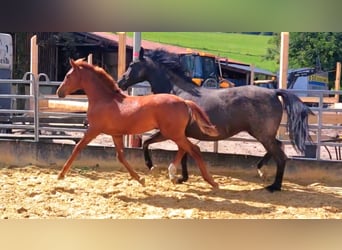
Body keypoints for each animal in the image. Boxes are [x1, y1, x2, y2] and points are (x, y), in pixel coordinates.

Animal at [117, 47, 312, 191]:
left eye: (132, 64)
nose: (120, 82)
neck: (177, 94)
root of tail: (273, 92)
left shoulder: (169, 132)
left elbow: (147, 143)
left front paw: (152, 166)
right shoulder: (183, 135)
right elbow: (185, 154)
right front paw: (182, 178)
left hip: (262, 134)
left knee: (281, 156)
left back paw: (274, 186)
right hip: (265, 134)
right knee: (277, 148)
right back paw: (261, 170)